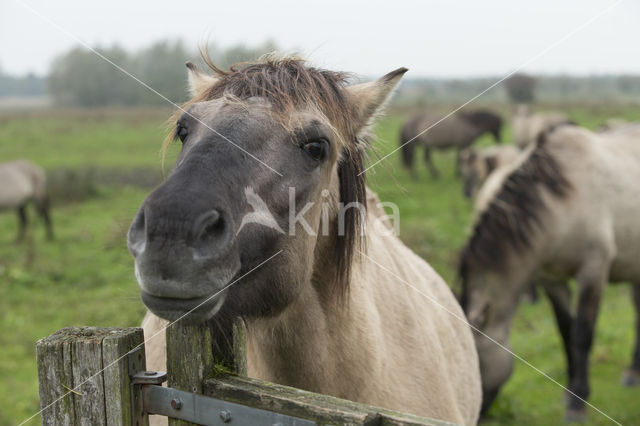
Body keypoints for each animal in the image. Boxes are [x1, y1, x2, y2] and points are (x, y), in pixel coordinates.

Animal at [458, 125, 640, 422]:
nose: (471, 415)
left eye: (476, 365)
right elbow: (566, 331)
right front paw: (569, 392)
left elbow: (582, 334)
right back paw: (634, 370)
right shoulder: (550, 280)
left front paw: (578, 402)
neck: (562, 201)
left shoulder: (593, 271)